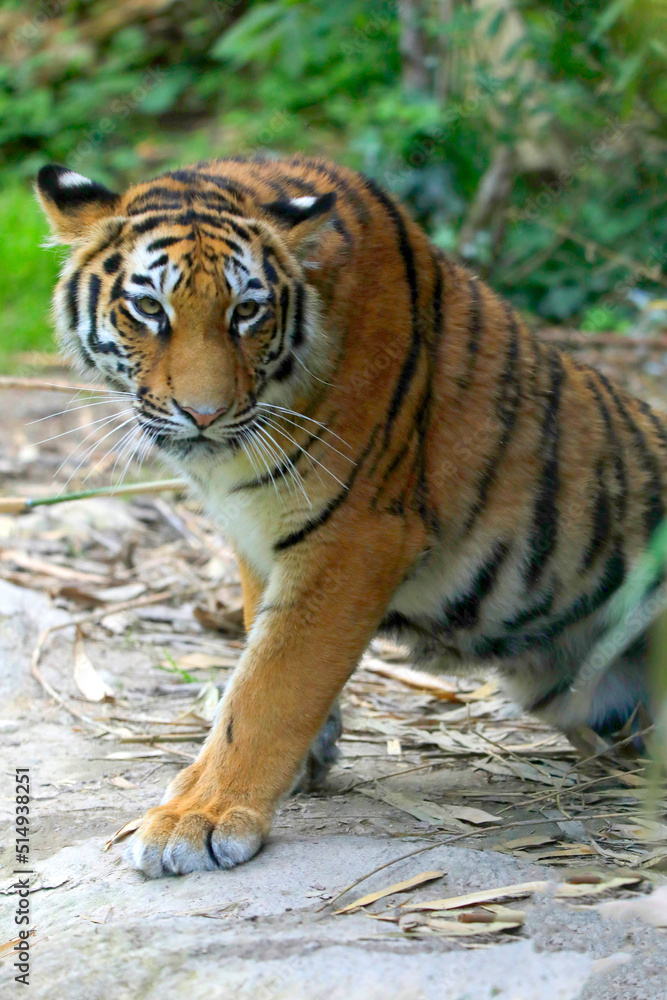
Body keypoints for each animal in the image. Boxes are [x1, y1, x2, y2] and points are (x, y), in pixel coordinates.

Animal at [36, 153, 665, 879]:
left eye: (246, 312)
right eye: (148, 308)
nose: (203, 413)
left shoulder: (357, 533)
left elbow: (271, 685)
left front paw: (199, 817)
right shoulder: (260, 536)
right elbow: (258, 638)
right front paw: (309, 756)